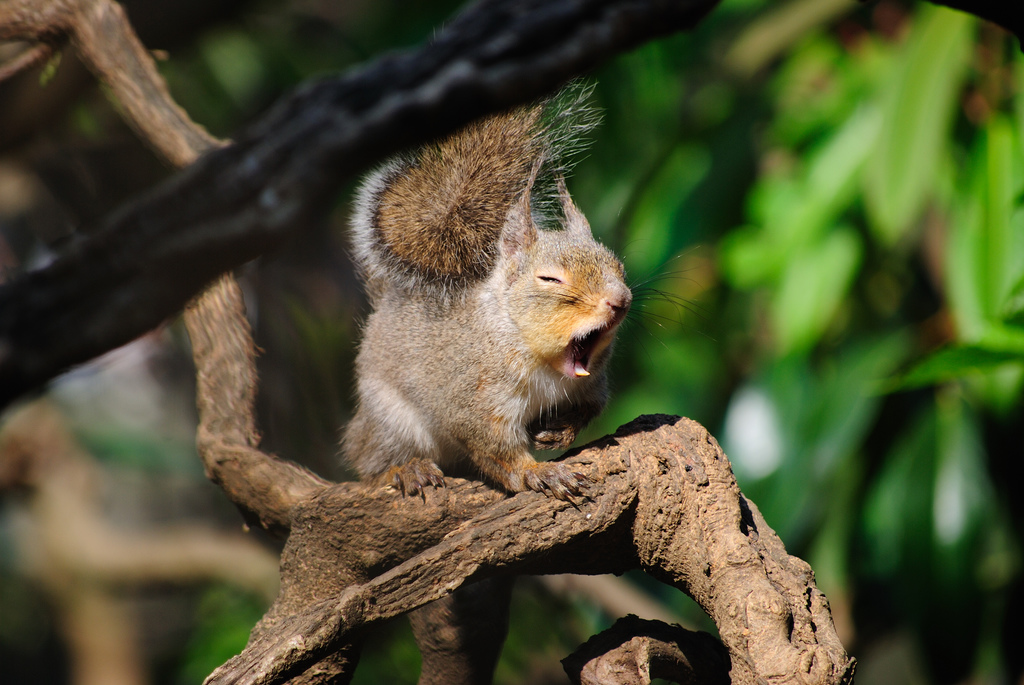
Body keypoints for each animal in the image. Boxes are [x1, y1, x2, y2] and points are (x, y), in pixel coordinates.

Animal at [344, 88, 630, 499]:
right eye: (549, 279)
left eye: (619, 266)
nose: (620, 300)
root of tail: (384, 307)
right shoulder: (474, 401)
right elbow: (497, 450)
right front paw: (538, 473)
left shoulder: (592, 386)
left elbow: (589, 409)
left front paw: (561, 430)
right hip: (390, 422)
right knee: (368, 463)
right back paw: (405, 470)